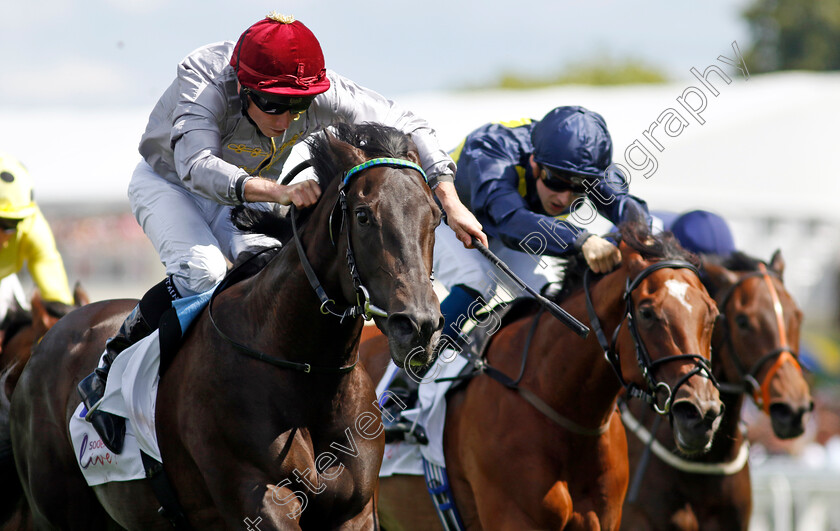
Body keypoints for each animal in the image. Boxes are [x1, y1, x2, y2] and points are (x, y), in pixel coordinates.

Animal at [11, 122, 446, 528]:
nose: (418, 326)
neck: (305, 371)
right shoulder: (259, 499)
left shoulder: (353, 511)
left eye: (435, 216)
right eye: (363, 215)